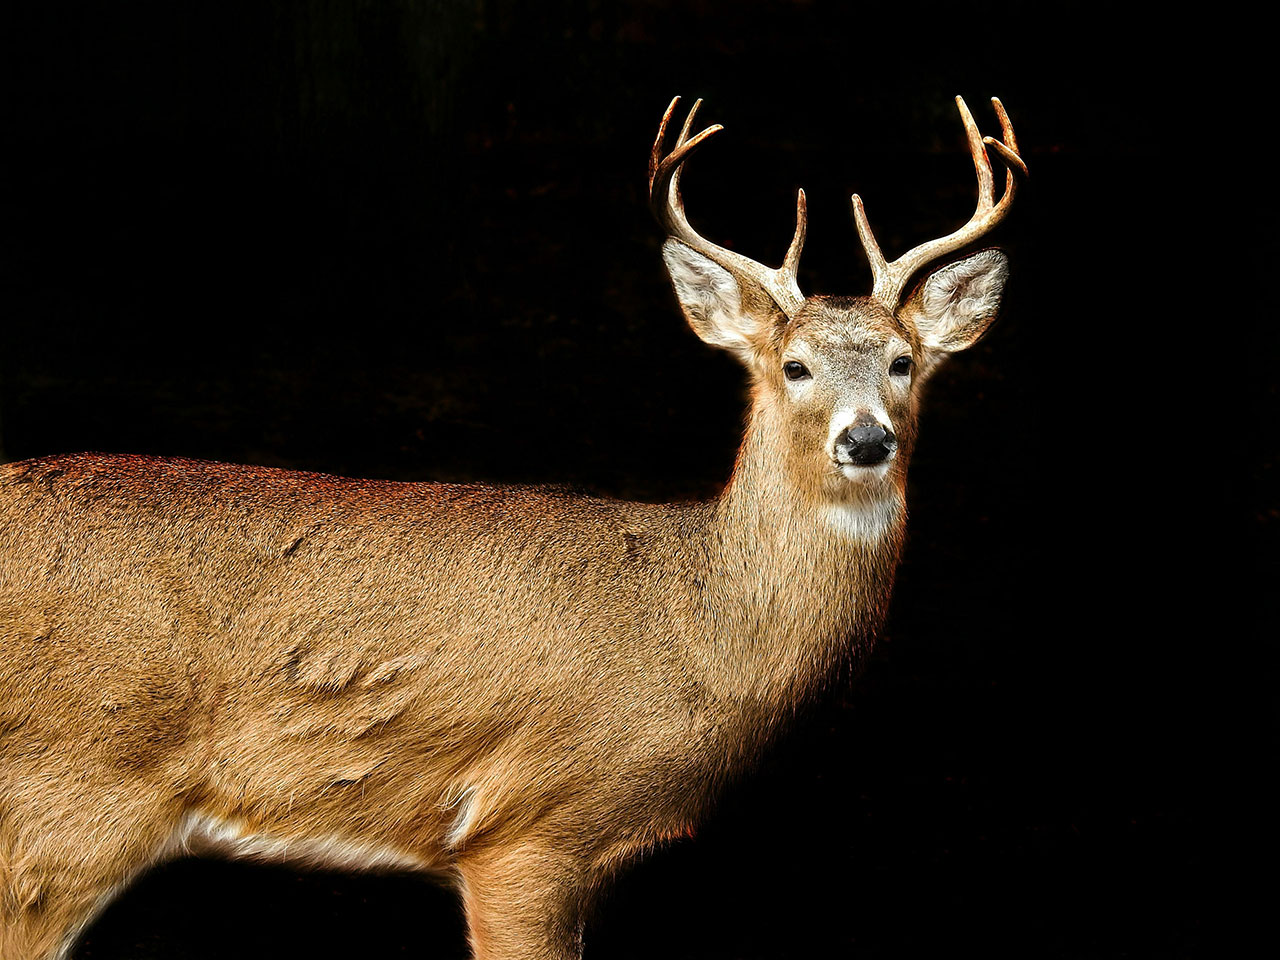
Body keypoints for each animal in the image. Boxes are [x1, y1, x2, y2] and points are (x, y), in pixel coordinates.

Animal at [0, 96, 1018, 960]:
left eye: (903, 361)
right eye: (796, 365)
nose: (866, 438)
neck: (698, 627)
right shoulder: (528, 826)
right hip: (69, 801)